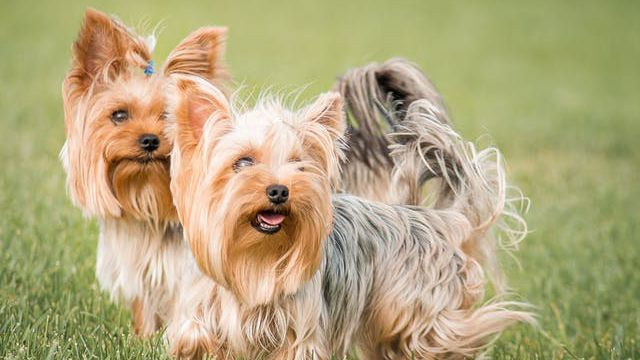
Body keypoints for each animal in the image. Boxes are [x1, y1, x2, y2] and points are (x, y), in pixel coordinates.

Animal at [60, 7, 229, 334]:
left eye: (168, 116)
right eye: (119, 115)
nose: (150, 140)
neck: (146, 193)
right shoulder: (141, 268)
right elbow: (146, 306)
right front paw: (144, 336)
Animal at [164, 75, 528, 358]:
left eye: (300, 165)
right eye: (242, 162)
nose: (279, 191)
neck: (256, 256)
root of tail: (439, 219)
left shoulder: (300, 330)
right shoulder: (200, 308)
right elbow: (193, 337)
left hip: (414, 309)